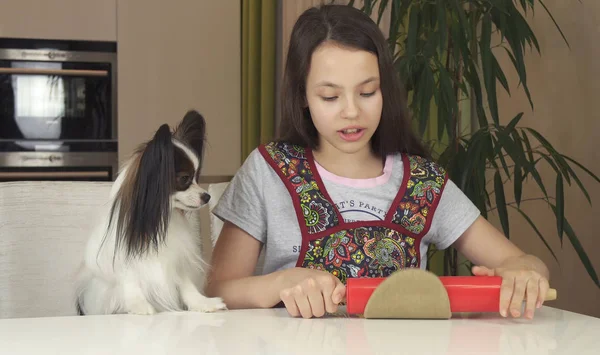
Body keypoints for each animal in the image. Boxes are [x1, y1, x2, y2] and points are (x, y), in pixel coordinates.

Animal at [75, 110, 225, 316]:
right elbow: (130, 282)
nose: (207, 196)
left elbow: (185, 284)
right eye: (184, 179)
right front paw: (139, 305)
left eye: (197, 177)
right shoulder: (124, 262)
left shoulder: (175, 259)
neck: (159, 218)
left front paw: (202, 303)